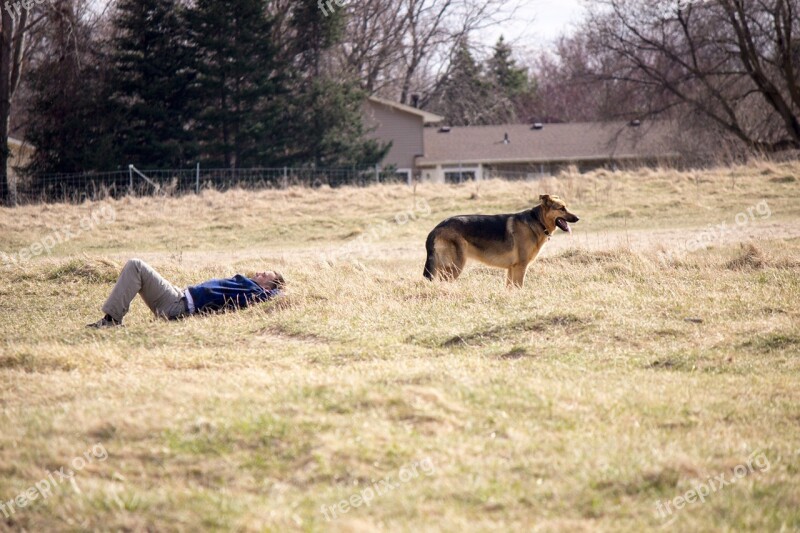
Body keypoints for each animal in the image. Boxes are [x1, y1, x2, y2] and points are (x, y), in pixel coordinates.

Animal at [422, 194, 580, 286]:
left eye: (566, 207)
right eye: (562, 208)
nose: (578, 218)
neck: (537, 221)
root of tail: (436, 228)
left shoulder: (511, 269)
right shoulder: (521, 267)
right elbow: (519, 287)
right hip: (455, 267)